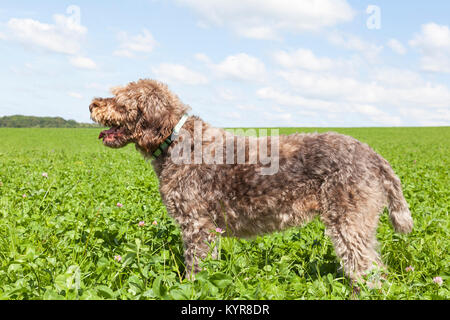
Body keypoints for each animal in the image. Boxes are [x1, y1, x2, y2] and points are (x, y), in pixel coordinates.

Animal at [89, 79, 414, 282]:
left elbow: (196, 268)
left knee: (368, 270)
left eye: (120, 101)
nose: (92, 104)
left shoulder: (197, 226)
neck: (176, 140)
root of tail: (374, 156)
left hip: (348, 222)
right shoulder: (208, 229)